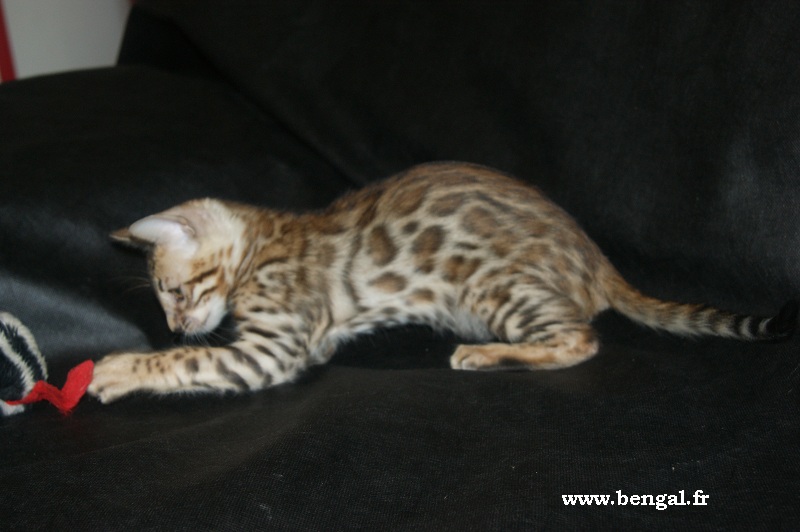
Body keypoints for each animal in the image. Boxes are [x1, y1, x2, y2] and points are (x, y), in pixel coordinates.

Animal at [87, 162, 797, 403]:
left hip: (487, 284)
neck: (265, 239)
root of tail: (598, 260)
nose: (176, 322)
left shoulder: (272, 348)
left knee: (580, 340)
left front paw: (118, 368)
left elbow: (183, 363)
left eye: (174, 292)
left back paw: (485, 354)